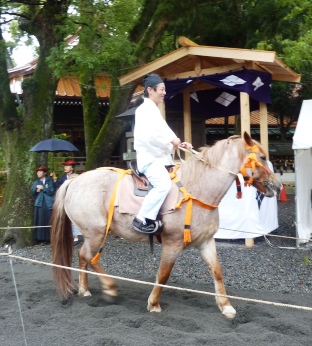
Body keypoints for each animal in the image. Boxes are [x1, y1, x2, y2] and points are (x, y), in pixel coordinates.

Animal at [50, 132, 280, 318]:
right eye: (262, 157)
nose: (277, 186)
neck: (197, 190)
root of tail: (74, 181)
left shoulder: (206, 242)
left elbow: (217, 272)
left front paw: (226, 306)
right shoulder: (173, 244)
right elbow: (163, 273)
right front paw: (153, 303)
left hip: (93, 234)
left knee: (84, 257)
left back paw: (85, 289)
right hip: (96, 233)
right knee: (89, 256)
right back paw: (109, 287)